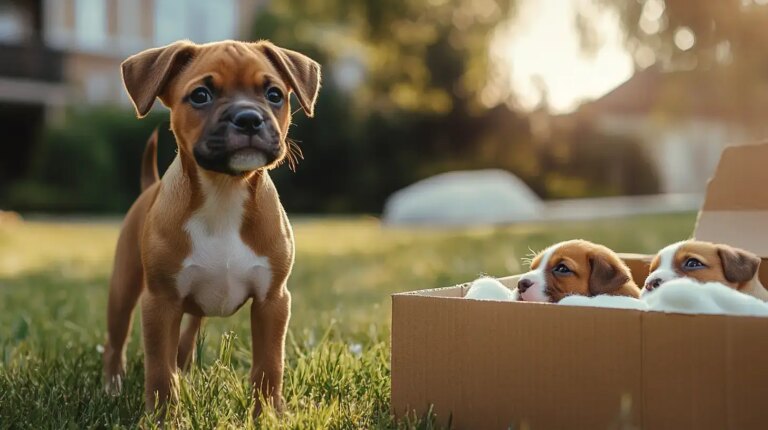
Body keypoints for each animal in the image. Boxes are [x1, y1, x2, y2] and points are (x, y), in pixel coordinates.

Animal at [100, 40, 320, 416]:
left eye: (274, 94)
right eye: (201, 95)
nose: (249, 118)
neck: (224, 191)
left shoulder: (272, 301)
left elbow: (269, 365)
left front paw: (268, 414)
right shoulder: (160, 302)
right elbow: (159, 370)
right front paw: (162, 417)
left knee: (188, 334)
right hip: (123, 288)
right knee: (117, 342)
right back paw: (112, 386)